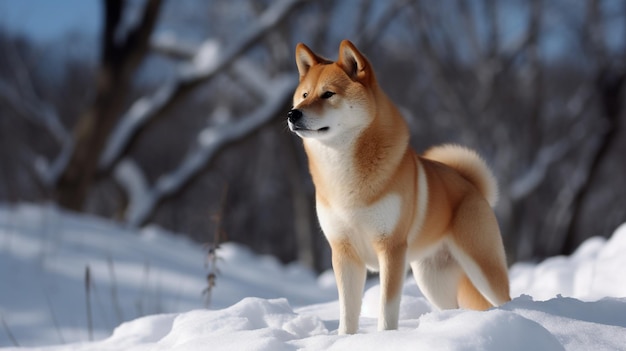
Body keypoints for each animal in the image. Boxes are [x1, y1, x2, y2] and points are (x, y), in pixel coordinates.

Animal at [286, 40, 510, 336]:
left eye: (328, 94)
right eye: (304, 95)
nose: (292, 113)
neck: (344, 175)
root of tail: (472, 184)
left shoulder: (390, 248)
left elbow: (387, 308)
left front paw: (386, 337)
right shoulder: (344, 252)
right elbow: (347, 311)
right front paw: (345, 338)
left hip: (482, 266)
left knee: (503, 297)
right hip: (432, 279)